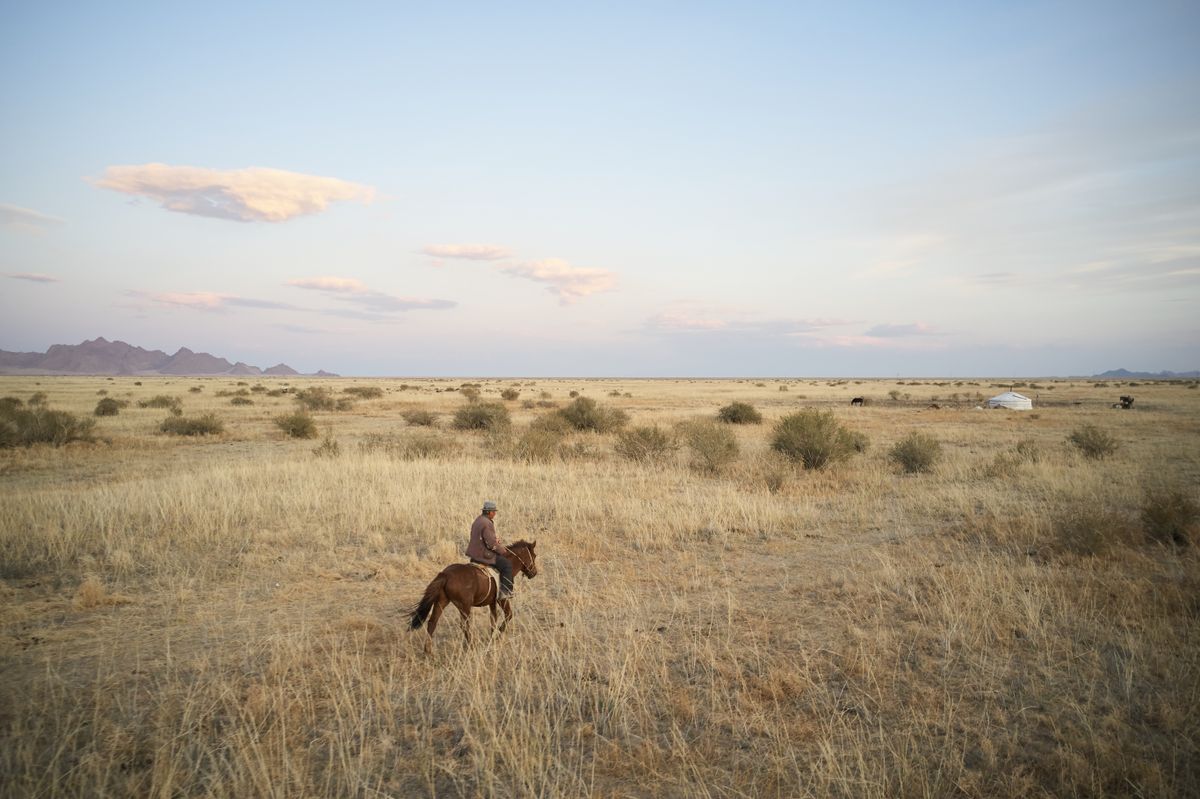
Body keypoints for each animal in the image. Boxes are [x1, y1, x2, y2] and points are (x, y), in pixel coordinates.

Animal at [406, 540, 538, 651]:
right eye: (534, 556)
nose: (534, 573)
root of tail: (446, 574)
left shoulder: (492, 602)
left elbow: (493, 620)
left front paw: (492, 637)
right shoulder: (502, 599)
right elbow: (508, 615)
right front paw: (498, 635)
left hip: (442, 601)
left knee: (432, 622)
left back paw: (428, 651)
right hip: (465, 606)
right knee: (464, 625)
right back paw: (471, 645)